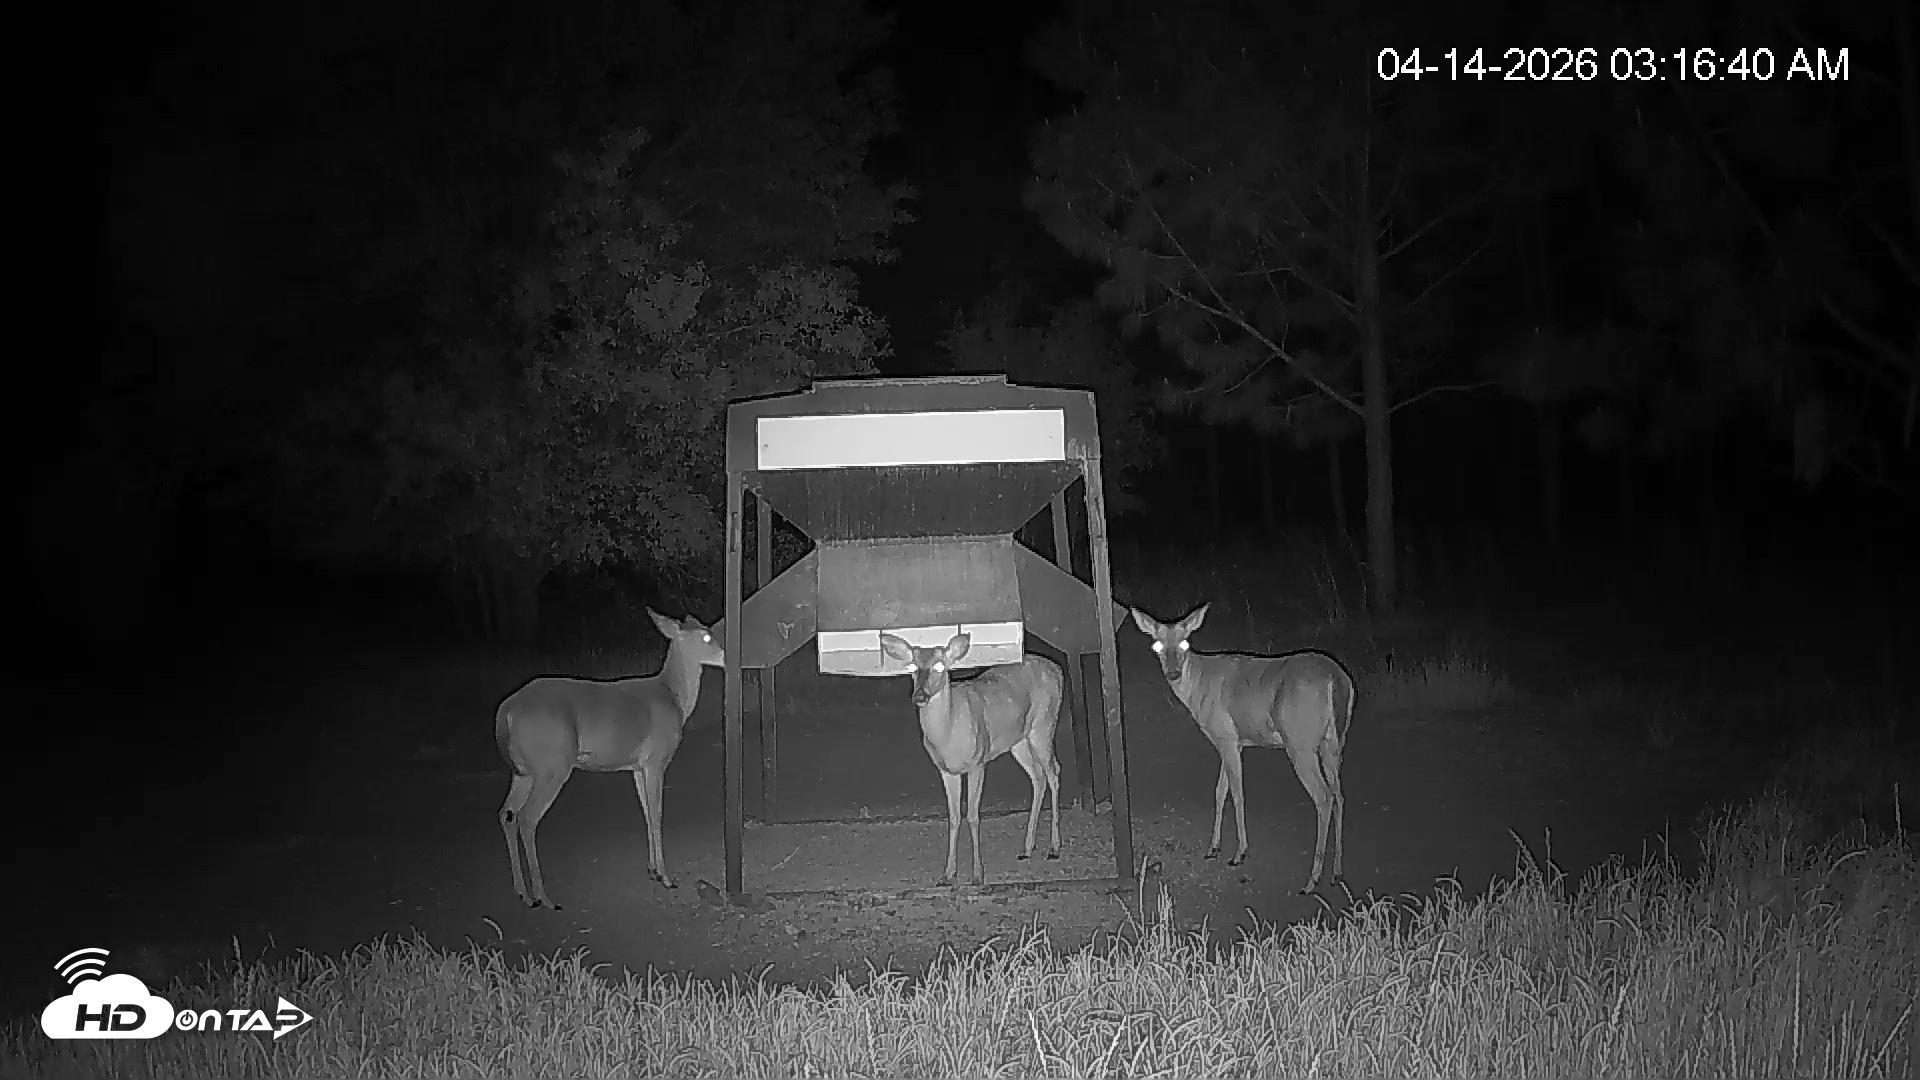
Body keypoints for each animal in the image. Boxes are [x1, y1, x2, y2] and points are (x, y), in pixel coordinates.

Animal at [495, 608, 725, 909]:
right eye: (707, 636)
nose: (727, 655)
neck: (673, 698)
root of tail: (506, 710)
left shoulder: (638, 766)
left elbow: (646, 812)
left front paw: (653, 870)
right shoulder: (656, 760)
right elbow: (657, 813)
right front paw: (666, 877)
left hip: (524, 771)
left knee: (506, 814)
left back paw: (523, 893)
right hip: (552, 763)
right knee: (527, 818)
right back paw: (544, 898)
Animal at [878, 632, 1065, 886]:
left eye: (939, 665)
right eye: (912, 666)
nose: (920, 695)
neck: (948, 734)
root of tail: (1057, 669)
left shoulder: (978, 762)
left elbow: (973, 816)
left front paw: (977, 875)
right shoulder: (947, 771)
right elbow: (954, 817)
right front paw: (947, 874)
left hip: (1044, 725)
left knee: (1054, 772)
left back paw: (1054, 847)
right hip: (1018, 740)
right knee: (1038, 777)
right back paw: (1027, 848)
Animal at [1129, 603, 1354, 892]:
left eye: (1185, 642)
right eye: (1157, 645)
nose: (1173, 673)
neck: (1197, 686)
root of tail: (1335, 680)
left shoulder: (1226, 736)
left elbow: (1237, 793)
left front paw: (1239, 853)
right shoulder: (1229, 740)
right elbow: (1219, 791)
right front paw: (1212, 848)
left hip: (1301, 742)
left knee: (1324, 797)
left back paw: (1312, 880)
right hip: (1334, 741)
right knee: (1339, 795)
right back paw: (1336, 871)